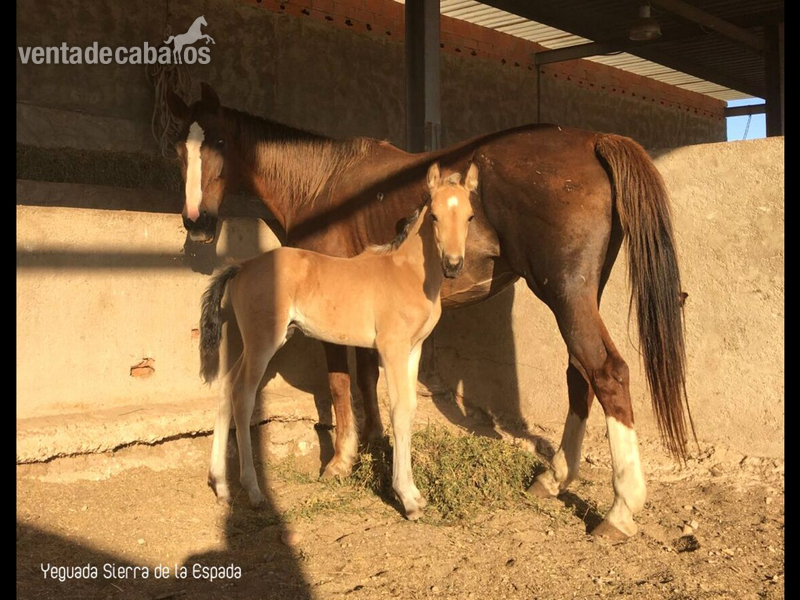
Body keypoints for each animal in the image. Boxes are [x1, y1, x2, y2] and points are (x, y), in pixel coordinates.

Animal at [199, 162, 478, 518]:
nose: (453, 266)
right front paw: (407, 498)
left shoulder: (413, 350)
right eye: (435, 216)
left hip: (254, 344)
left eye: (469, 216)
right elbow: (398, 410)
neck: (409, 274)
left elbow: (411, 409)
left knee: (225, 388)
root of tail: (243, 266)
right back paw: (253, 489)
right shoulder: (392, 349)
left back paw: (221, 485)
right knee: (242, 396)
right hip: (263, 343)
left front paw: (414, 494)